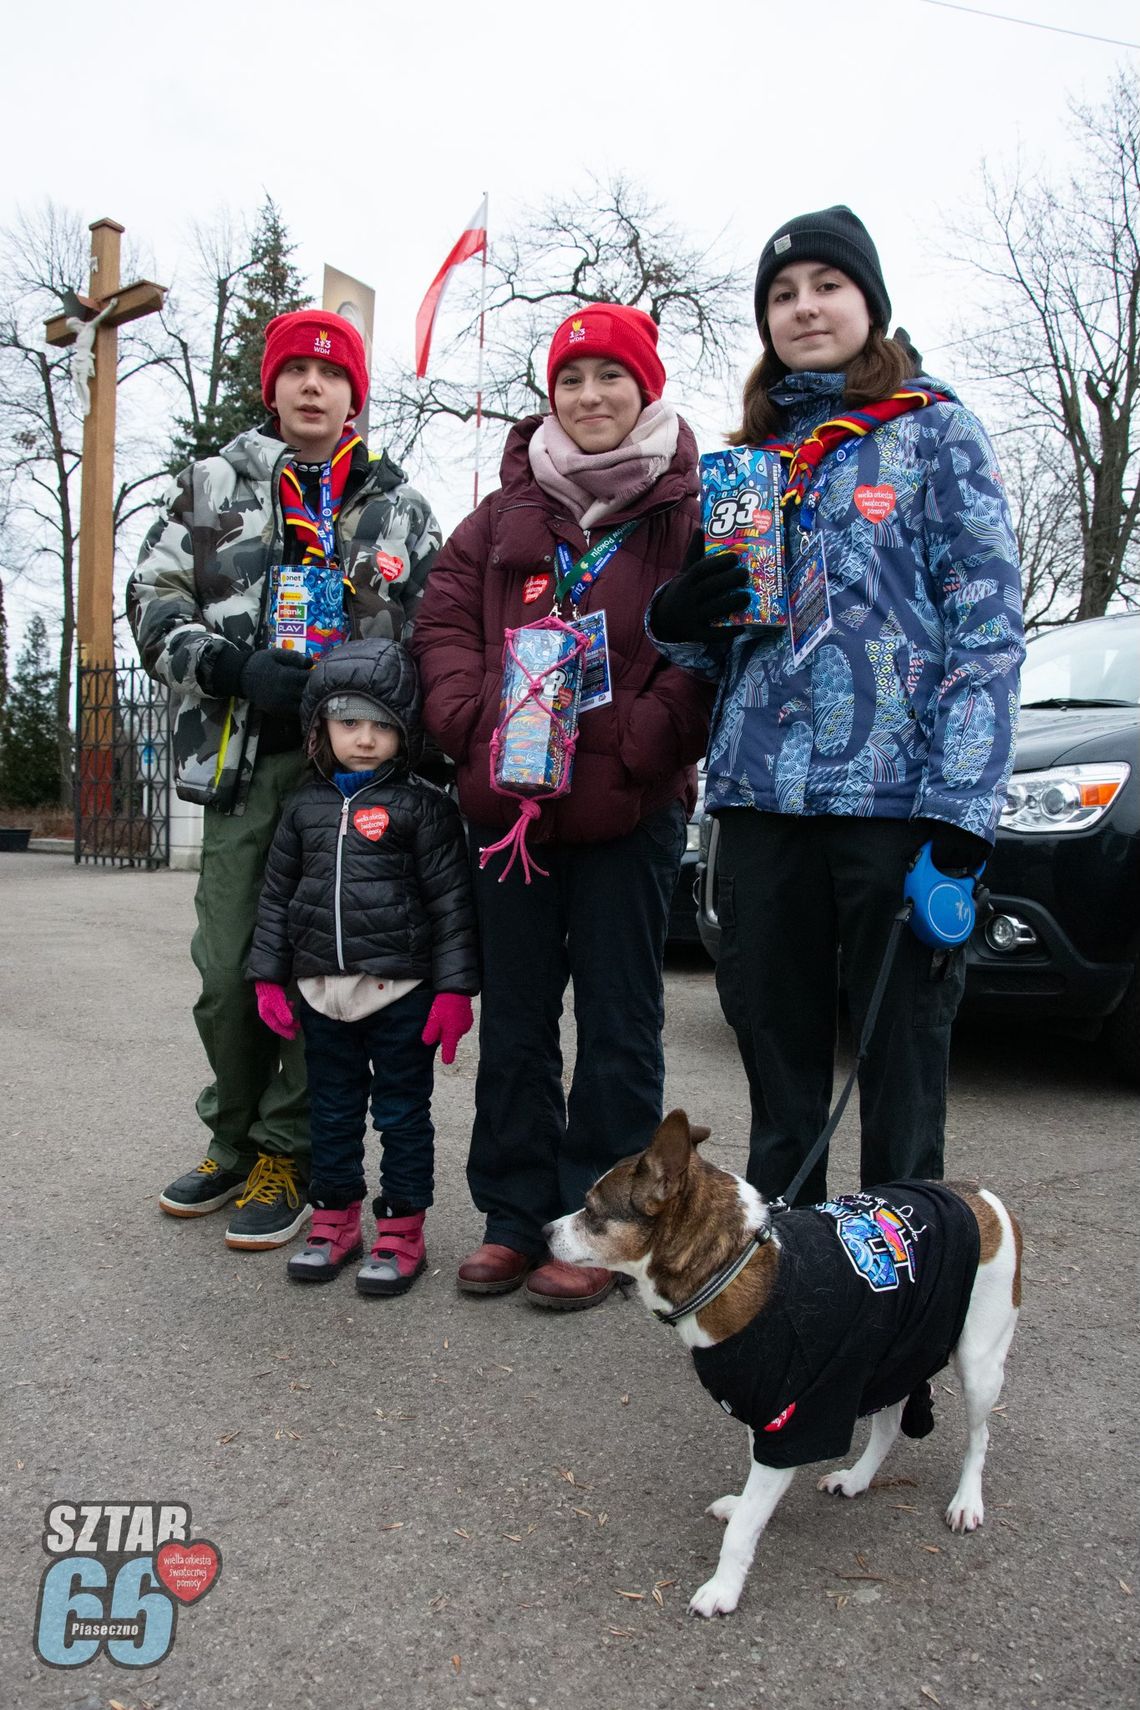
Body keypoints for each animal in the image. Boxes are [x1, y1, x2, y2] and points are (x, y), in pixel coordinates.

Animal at [546, 1108, 1025, 1614]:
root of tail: (978, 1195)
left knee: (979, 1437)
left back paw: (966, 1501)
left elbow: (742, 1531)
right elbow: (753, 1494)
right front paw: (745, 1505)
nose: (543, 1233)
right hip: (892, 1347)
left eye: (592, 1211)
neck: (730, 1266)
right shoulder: (759, 1406)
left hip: (978, 1364)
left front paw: (722, 1588)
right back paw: (857, 1479)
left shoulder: (789, 1418)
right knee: (890, 1422)